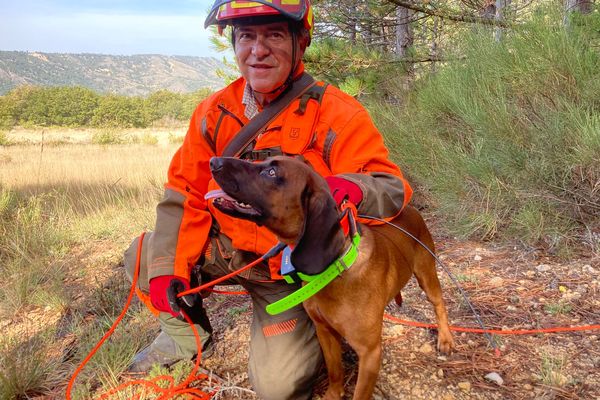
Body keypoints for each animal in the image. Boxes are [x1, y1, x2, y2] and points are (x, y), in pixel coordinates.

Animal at [209, 156, 452, 400]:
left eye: (270, 172)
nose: (214, 161)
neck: (335, 270)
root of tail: (411, 209)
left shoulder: (370, 354)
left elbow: (359, 394)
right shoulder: (324, 331)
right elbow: (335, 371)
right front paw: (333, 394)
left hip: (426, 273)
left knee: (439, 303)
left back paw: (446, 338)